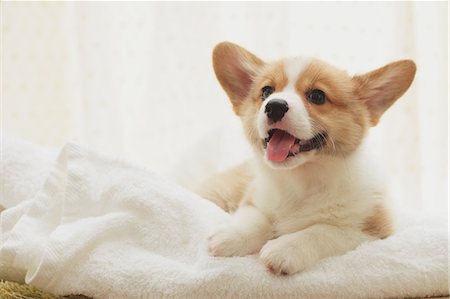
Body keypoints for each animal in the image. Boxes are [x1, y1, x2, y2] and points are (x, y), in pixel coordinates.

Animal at [197, 42, 414, 276]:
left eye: (317, 96)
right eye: (266, 91)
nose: (274, 106)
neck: (300, 179)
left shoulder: (373, 231)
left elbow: (323, 231)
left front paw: (284, 249)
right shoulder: (252, 199)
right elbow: (256, 220)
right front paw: (231, 236)